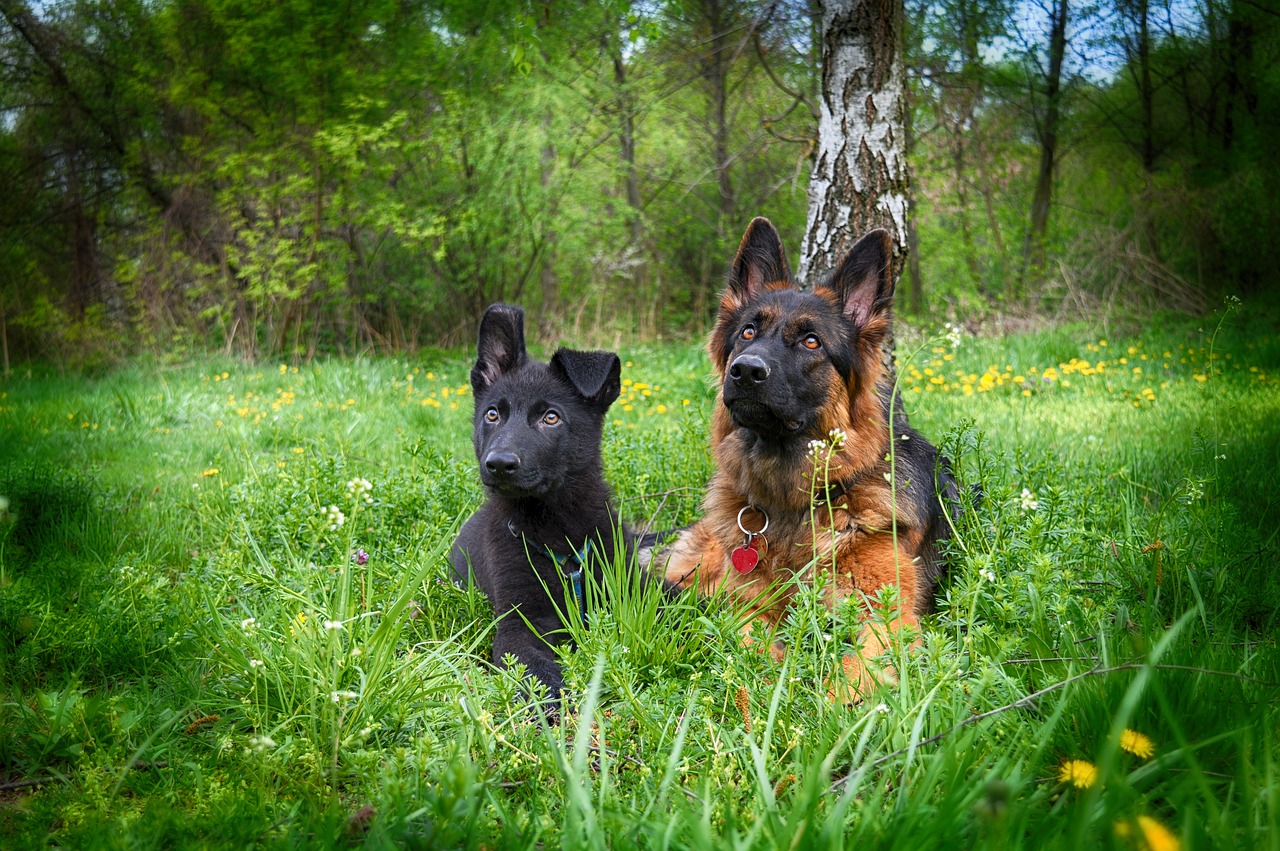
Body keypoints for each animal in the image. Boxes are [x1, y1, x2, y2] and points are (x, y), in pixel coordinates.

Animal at [450, 303, 634, 701]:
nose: (499, 464)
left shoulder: (632, 585)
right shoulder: (520, 623)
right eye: (492, 414)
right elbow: (534, 669)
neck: (557, 531)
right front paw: (558, 703)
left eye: (551, 417)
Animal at [665, 216, 957, 701]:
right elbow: (749, 658)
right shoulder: (746, 608)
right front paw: (760, 701)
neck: (794, 504)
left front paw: (826, 711)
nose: (745, 370)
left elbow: (854, 675)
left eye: (811, 342)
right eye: (747, 332)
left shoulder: (887, 617)